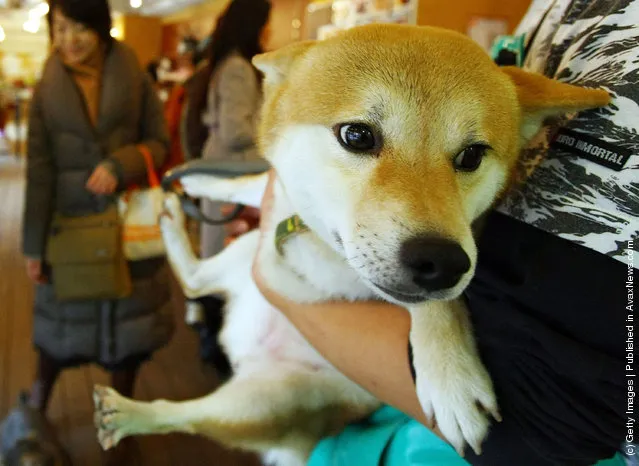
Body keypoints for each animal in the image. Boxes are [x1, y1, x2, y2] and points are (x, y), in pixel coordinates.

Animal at [94, 24, 608, 466]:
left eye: (472, 155)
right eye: (357, 135)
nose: (441, 262)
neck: (321, 244)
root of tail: (242, 355)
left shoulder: (456, 250)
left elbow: (439, 303)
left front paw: (452, 375)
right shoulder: (279, 197)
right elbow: (250, 183)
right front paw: (203, 180)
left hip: (272, 395)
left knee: (191, 346)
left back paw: (128, 412)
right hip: (248, 260)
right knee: (196, 282)